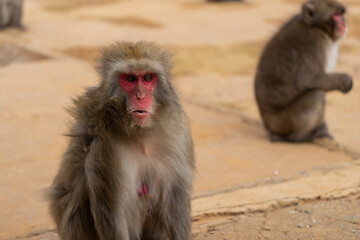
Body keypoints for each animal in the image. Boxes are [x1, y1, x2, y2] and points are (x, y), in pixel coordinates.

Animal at [48, 41, 195, 240]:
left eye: (147, 78)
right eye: (130, 79)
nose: (141, 97)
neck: (140, 133)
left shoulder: (178, 134)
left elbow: (175, 199)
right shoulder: (105, 142)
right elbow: (111, 210)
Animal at [255, 0, 352, 142]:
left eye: (341, 14)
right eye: (335, 15)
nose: (344, 25)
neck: (316, 27)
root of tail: (269, 128)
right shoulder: (314, 42)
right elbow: (309, 80)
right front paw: (344, 80)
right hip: (284, 121)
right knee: (316, 94)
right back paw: (302, 136)